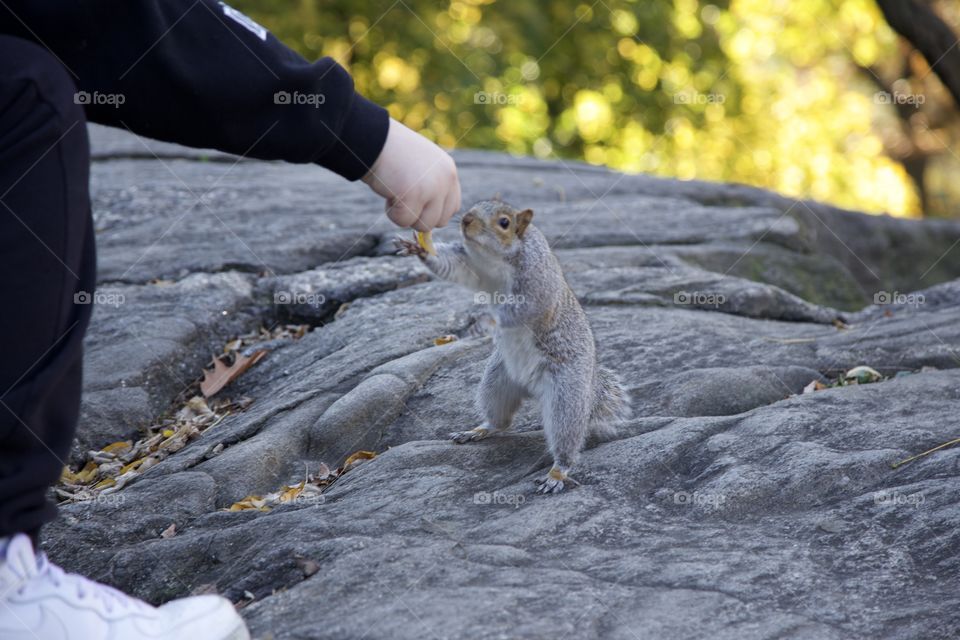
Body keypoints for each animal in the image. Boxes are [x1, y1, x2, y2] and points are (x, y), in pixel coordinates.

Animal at [396, 199, 630, 493]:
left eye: (504, 222)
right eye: (473, 206)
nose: (466, 221)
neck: (496, 257)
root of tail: (532, 388)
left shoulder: (537, 286)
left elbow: (523, 308)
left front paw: (488, 321)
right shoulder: (470, 263)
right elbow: (452, 265)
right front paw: (418, 249)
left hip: (566, 394)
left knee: (566, 436)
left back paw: (557, 473)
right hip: (497, 380)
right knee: (502, 420)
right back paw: (479, 431)